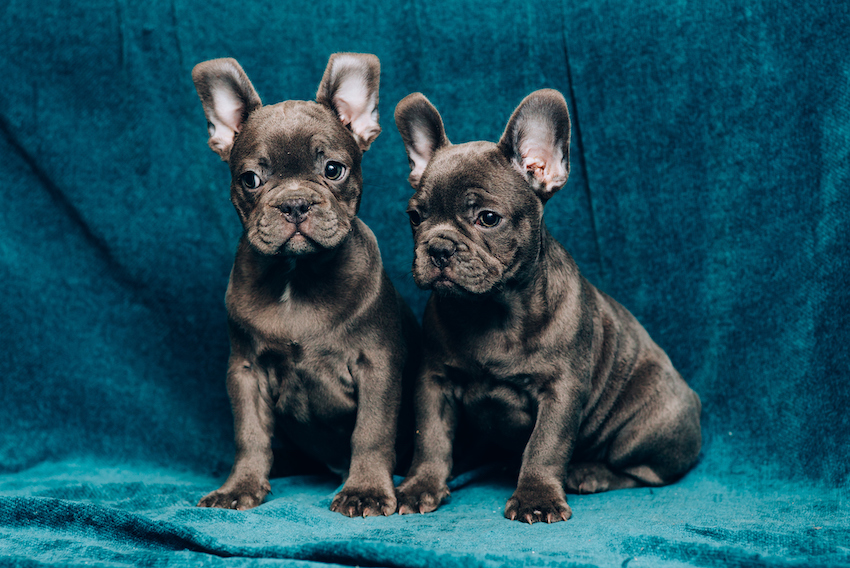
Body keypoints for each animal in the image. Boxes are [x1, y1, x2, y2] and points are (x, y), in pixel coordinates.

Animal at [191, 54, 418, 520]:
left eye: (333, 169)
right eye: (250, 179)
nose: (295, 203)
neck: (298, 275)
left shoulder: (377, 365)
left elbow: (371, 431)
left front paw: (366, 491)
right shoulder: (246, 371)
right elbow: (250, 434)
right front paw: (241, 486)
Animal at [394, 87, 700, 524]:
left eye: (488, 218)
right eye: (415, 217)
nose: (438, 247)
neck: (491, 310)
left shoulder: (560, 391)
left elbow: (546, 445)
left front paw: (536, 497)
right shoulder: (434, 381)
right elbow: (431, 437)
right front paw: (421, 485)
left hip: (646, 425)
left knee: (644, 472)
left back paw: (589, 473)